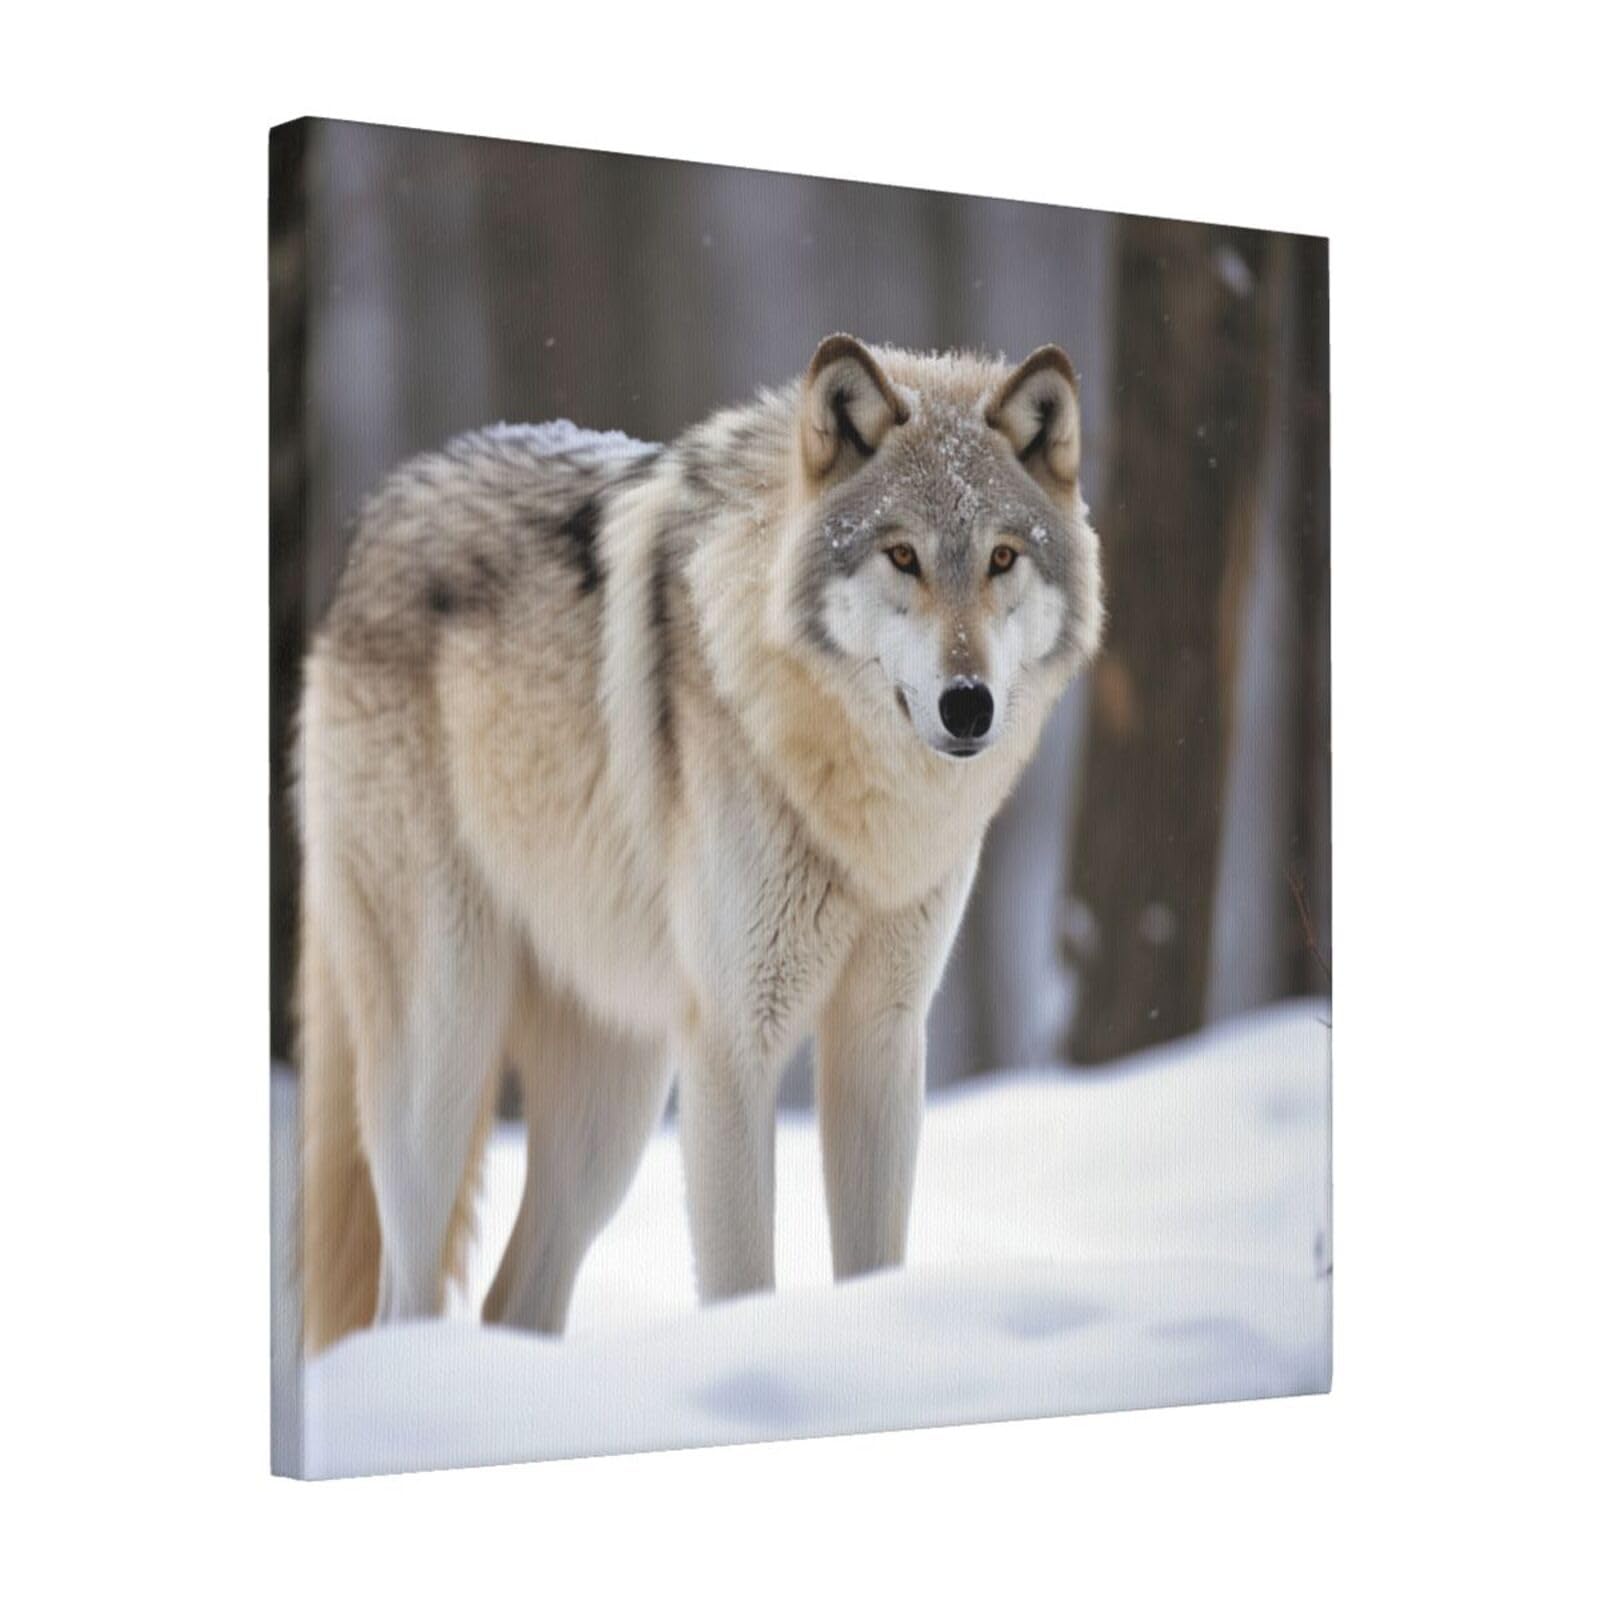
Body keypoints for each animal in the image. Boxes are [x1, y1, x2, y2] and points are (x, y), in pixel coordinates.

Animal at [297, 334, 1103, 1352]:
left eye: (1001, 557)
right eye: (903, 556)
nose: (969, 704)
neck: (858, 809)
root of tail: (372, 519)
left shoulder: (881, 1039)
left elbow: (873, 1263)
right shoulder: (730, 1045)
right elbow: (742, 1281)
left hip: (611, 1115)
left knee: (512, 1300)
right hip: (442, 1059)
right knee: (402, 1304)